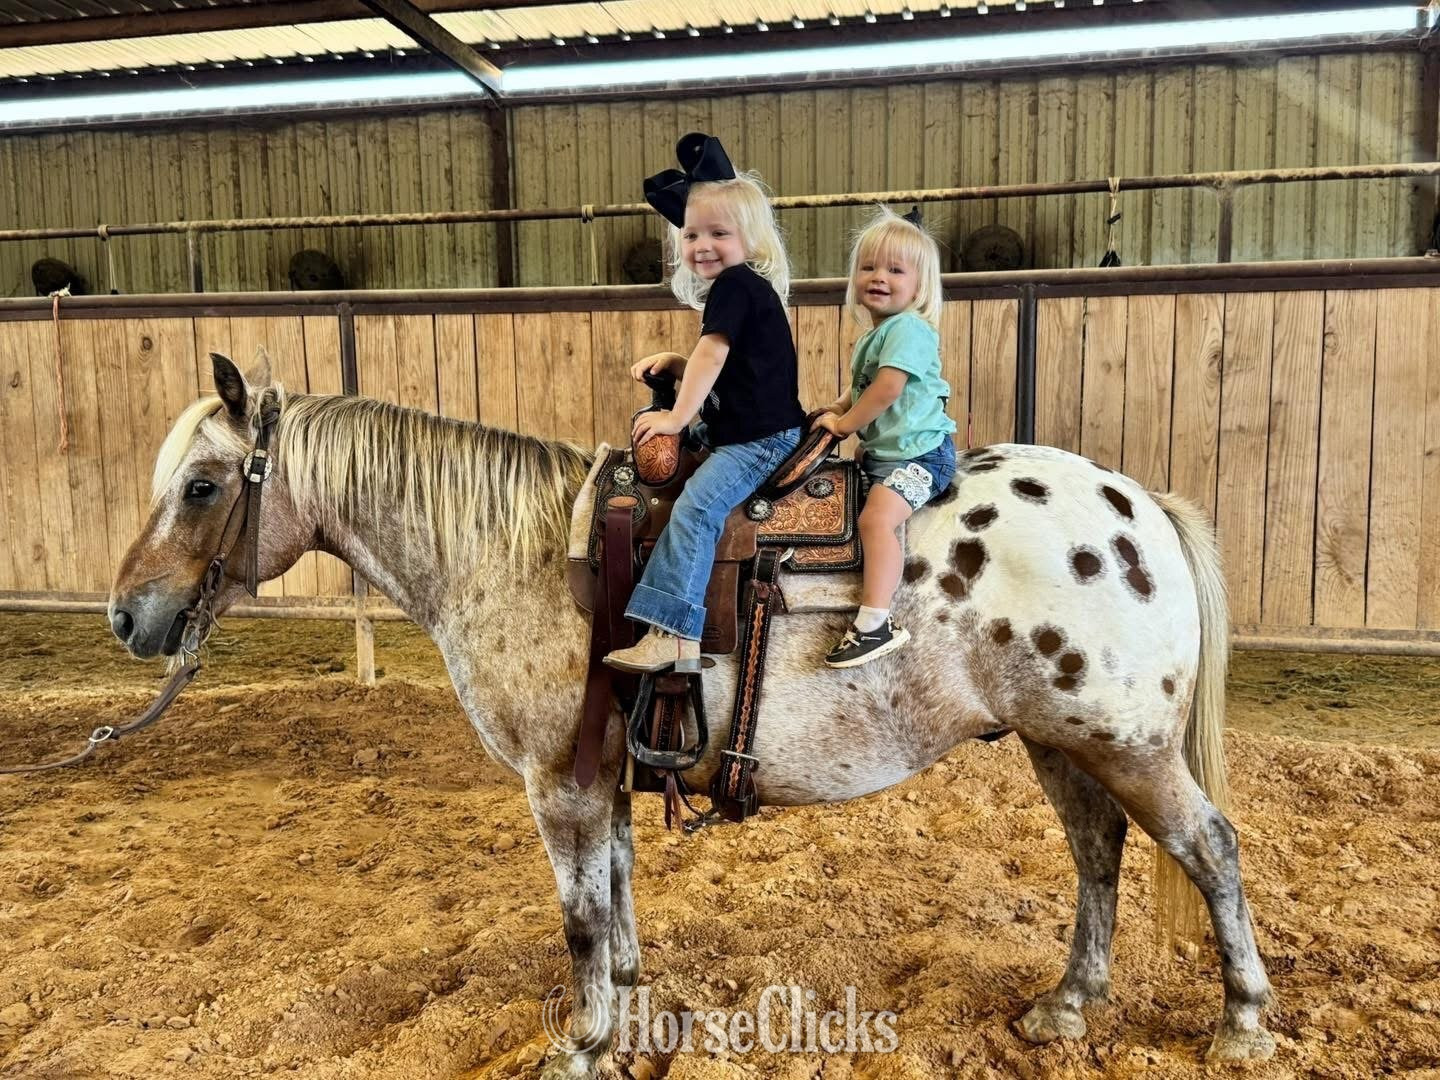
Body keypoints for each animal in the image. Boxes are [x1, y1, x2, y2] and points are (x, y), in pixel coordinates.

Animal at [108, 352, 1274, 1077]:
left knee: (1209, 848)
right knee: (1098, 854)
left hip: (1128, 745)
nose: (129, 615)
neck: (523, 552)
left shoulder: (559, 781)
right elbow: (619, 902)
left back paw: (1244, 1024)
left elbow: (580, 918)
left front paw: (580, 1047)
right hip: (1060, 742)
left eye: (203, 487)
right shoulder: (605, 774)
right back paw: (1068, 1005)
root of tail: (1135, 503)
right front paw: (624, 1014)